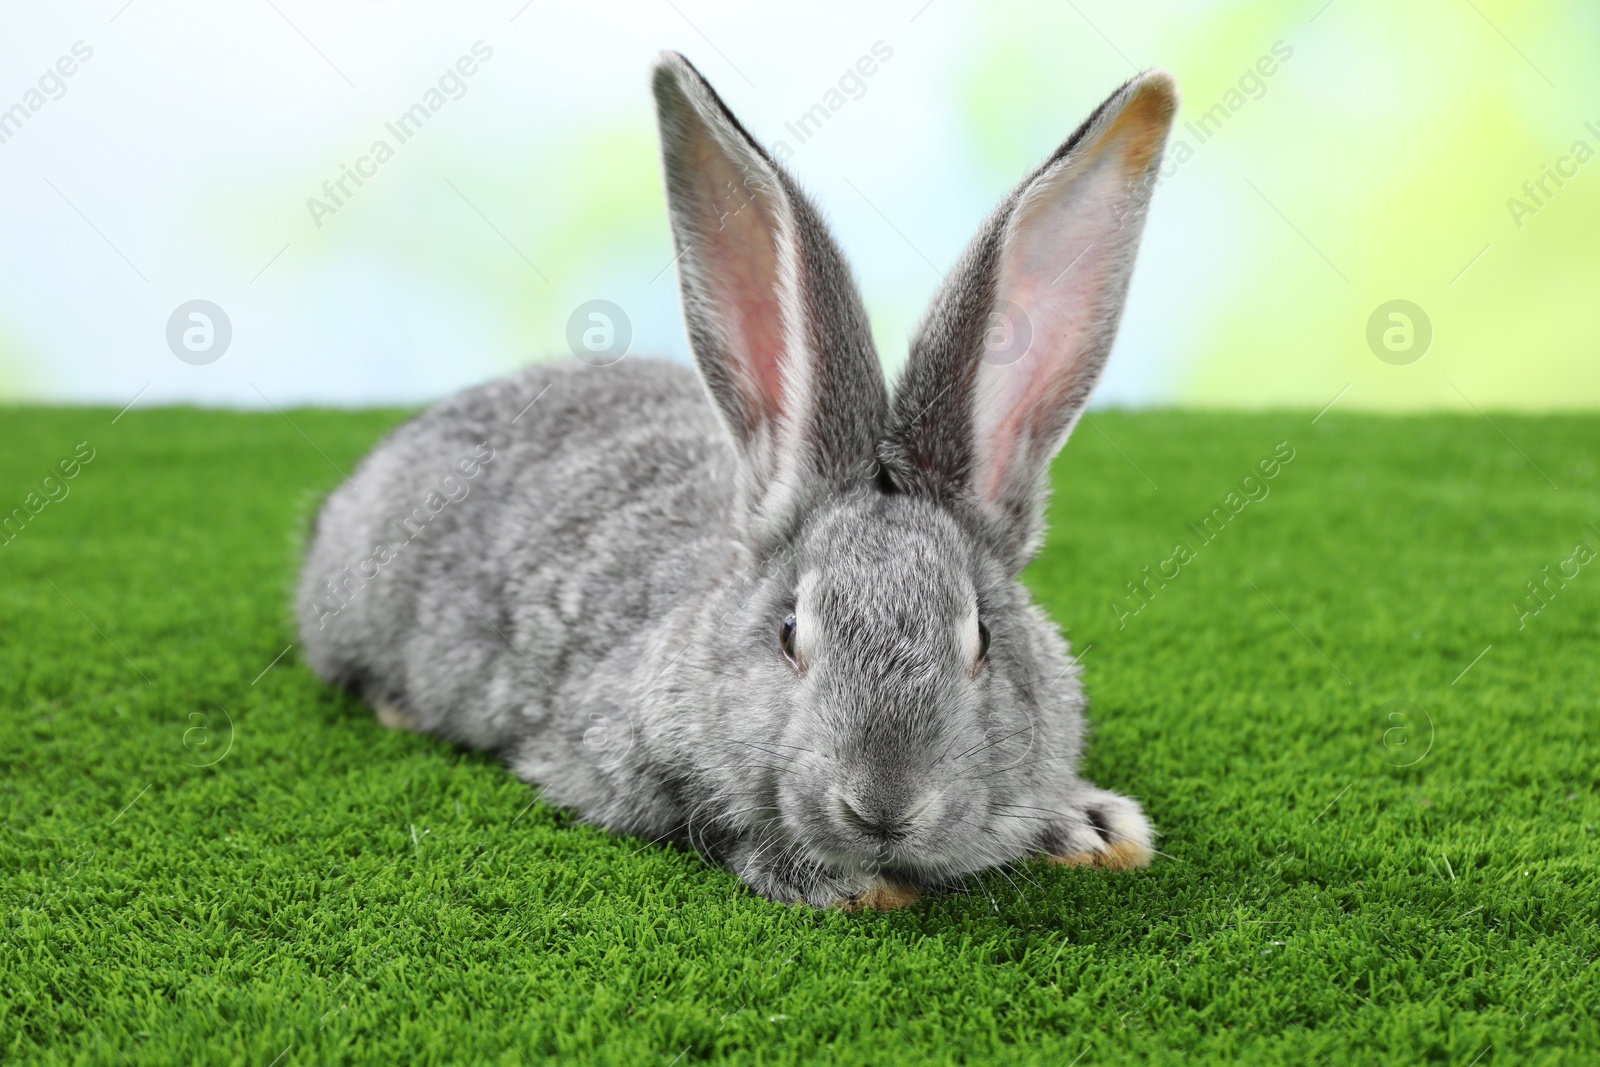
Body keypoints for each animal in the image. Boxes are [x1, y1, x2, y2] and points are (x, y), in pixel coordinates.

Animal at [297, 51, 1177, 908]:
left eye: (985, 639)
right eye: (789, 633)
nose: (883, 807)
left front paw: (1091, 827)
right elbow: (715, 825)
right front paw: (851, 885)